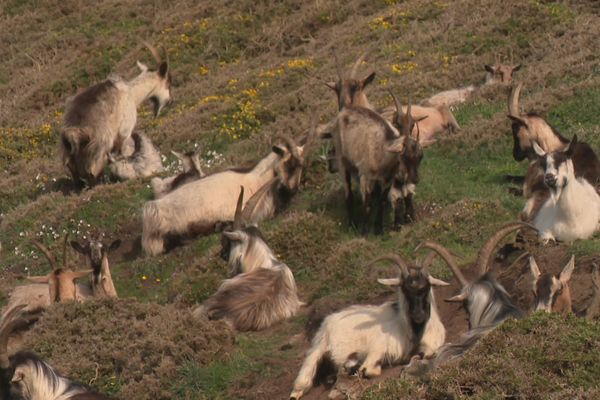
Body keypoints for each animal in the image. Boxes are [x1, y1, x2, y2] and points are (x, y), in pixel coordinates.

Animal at [61, 42, 171, 188]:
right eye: (168, 82)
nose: (169, 101)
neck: (131, 93)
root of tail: (73, 132)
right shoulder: (124, 131)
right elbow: (121, 152)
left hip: (67, 149)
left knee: (72, 168)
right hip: (98, 146)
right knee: (92, 170)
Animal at [288, 253, 448, 400]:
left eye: (426, 287)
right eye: (404, 289)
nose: (418, 315)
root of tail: (328, 321)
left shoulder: (431, 345)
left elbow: (426, 354)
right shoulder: (377, 348)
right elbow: (368, 370)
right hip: (318, 351)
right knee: (302, 382)